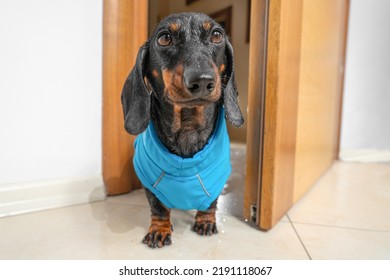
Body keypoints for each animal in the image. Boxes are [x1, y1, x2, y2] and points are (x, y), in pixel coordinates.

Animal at [122, 13, 244, 249]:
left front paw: (206, 220)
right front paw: (159, 230)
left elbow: (211, 202)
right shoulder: (149, 181)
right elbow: (158, 207)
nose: (202, 80)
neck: (187, 126)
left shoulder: (217, 178)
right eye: (164, 38)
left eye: (217, 35)